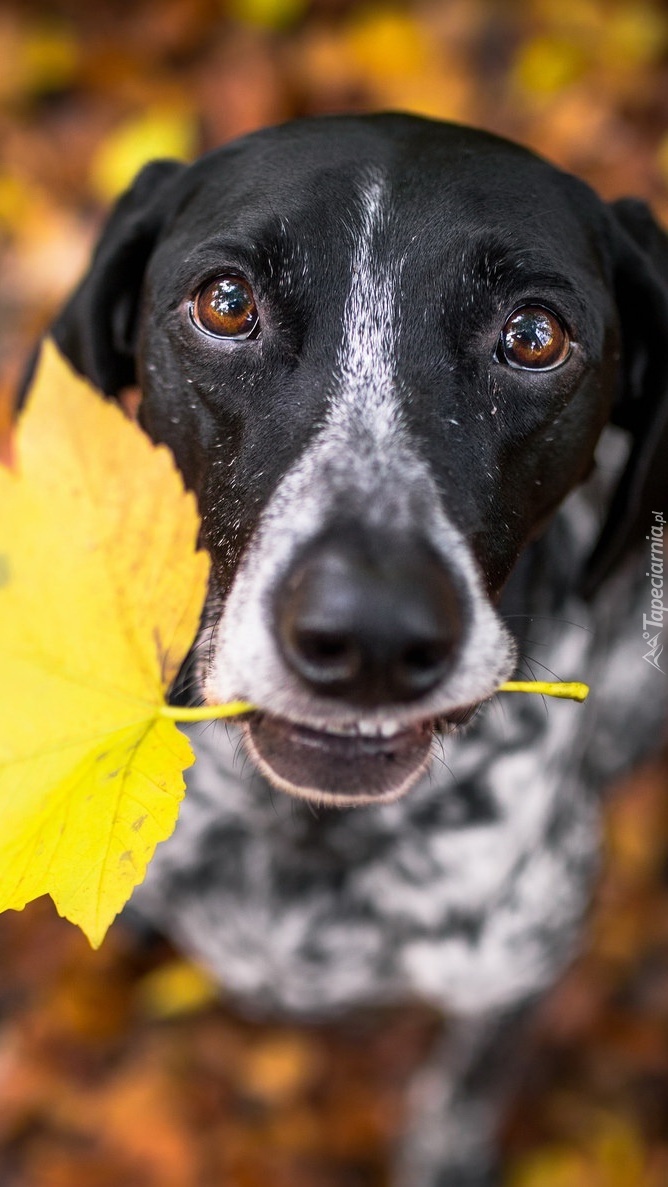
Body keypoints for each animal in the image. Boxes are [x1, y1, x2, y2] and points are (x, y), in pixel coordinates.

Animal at [48, 113, 668, 1187]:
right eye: (225, 303)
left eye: (535, 335)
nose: (370, 633)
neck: (305, 838)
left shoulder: (515, 969)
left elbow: (460, 1088)